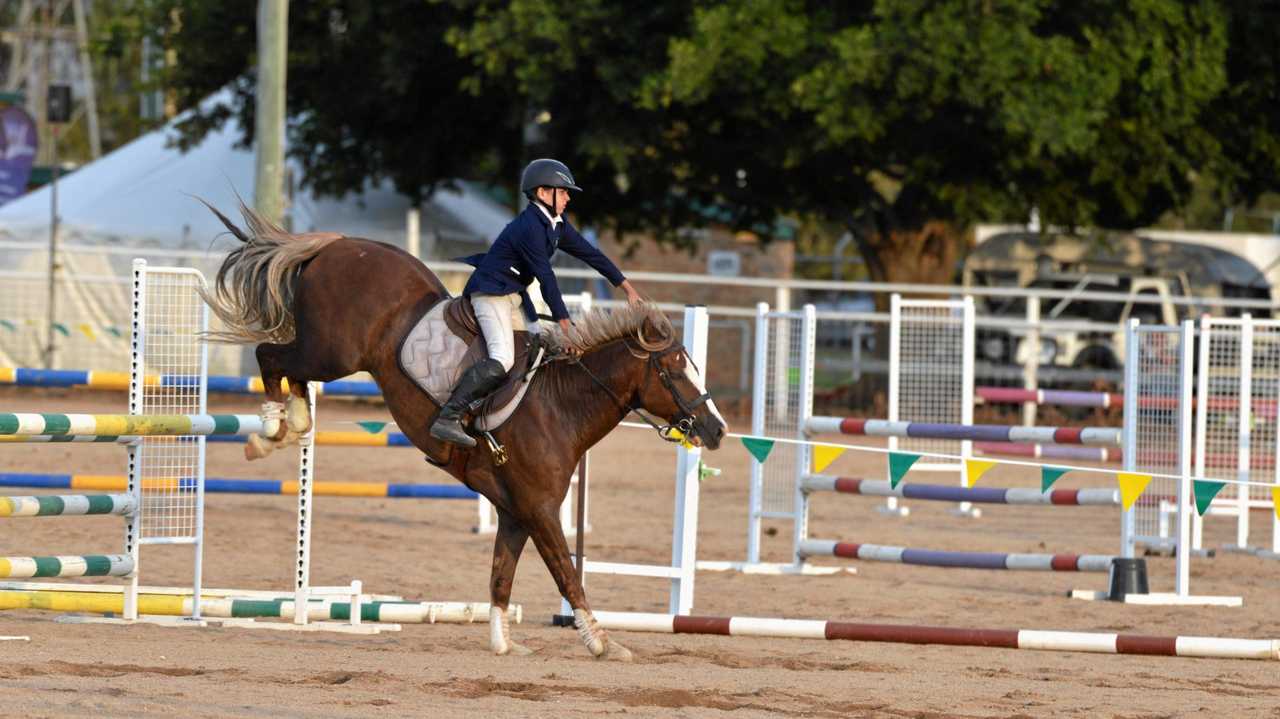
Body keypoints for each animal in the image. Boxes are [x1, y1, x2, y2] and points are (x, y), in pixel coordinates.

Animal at [203, 199, 732, 655]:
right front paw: (601, 642)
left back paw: (294, 421)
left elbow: (501, 575)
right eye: (676, 372)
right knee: (271, 356)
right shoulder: (540, 510)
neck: (561, 403)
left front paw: (502, 642)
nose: (717, 431)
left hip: (327, 354)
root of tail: (337, 244)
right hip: (332, 352)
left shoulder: (516, 512)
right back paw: (271, 428)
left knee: (290, 371)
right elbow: (567, 573)